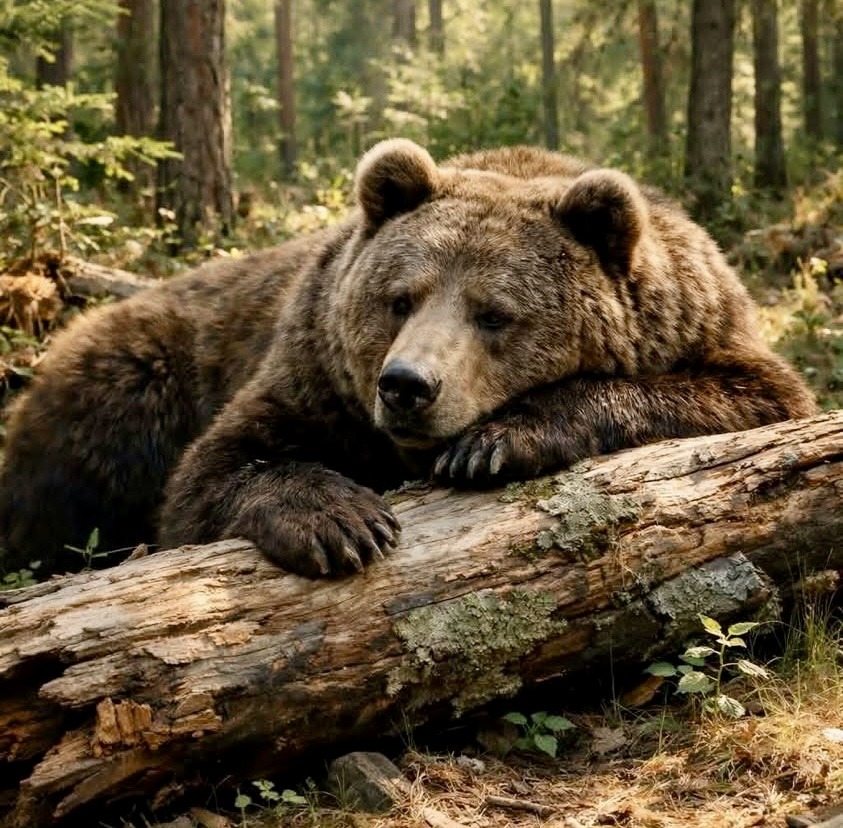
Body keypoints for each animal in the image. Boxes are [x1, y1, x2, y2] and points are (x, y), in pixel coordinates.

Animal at [0, 138, 817, 579]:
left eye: (494, 313)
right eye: (400, 298)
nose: (406, 385)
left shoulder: (705, 328)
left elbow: (744, 395)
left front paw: (493, 443)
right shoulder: (315, 377)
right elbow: (216, 471)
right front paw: (340, 522)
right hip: (132, 375)